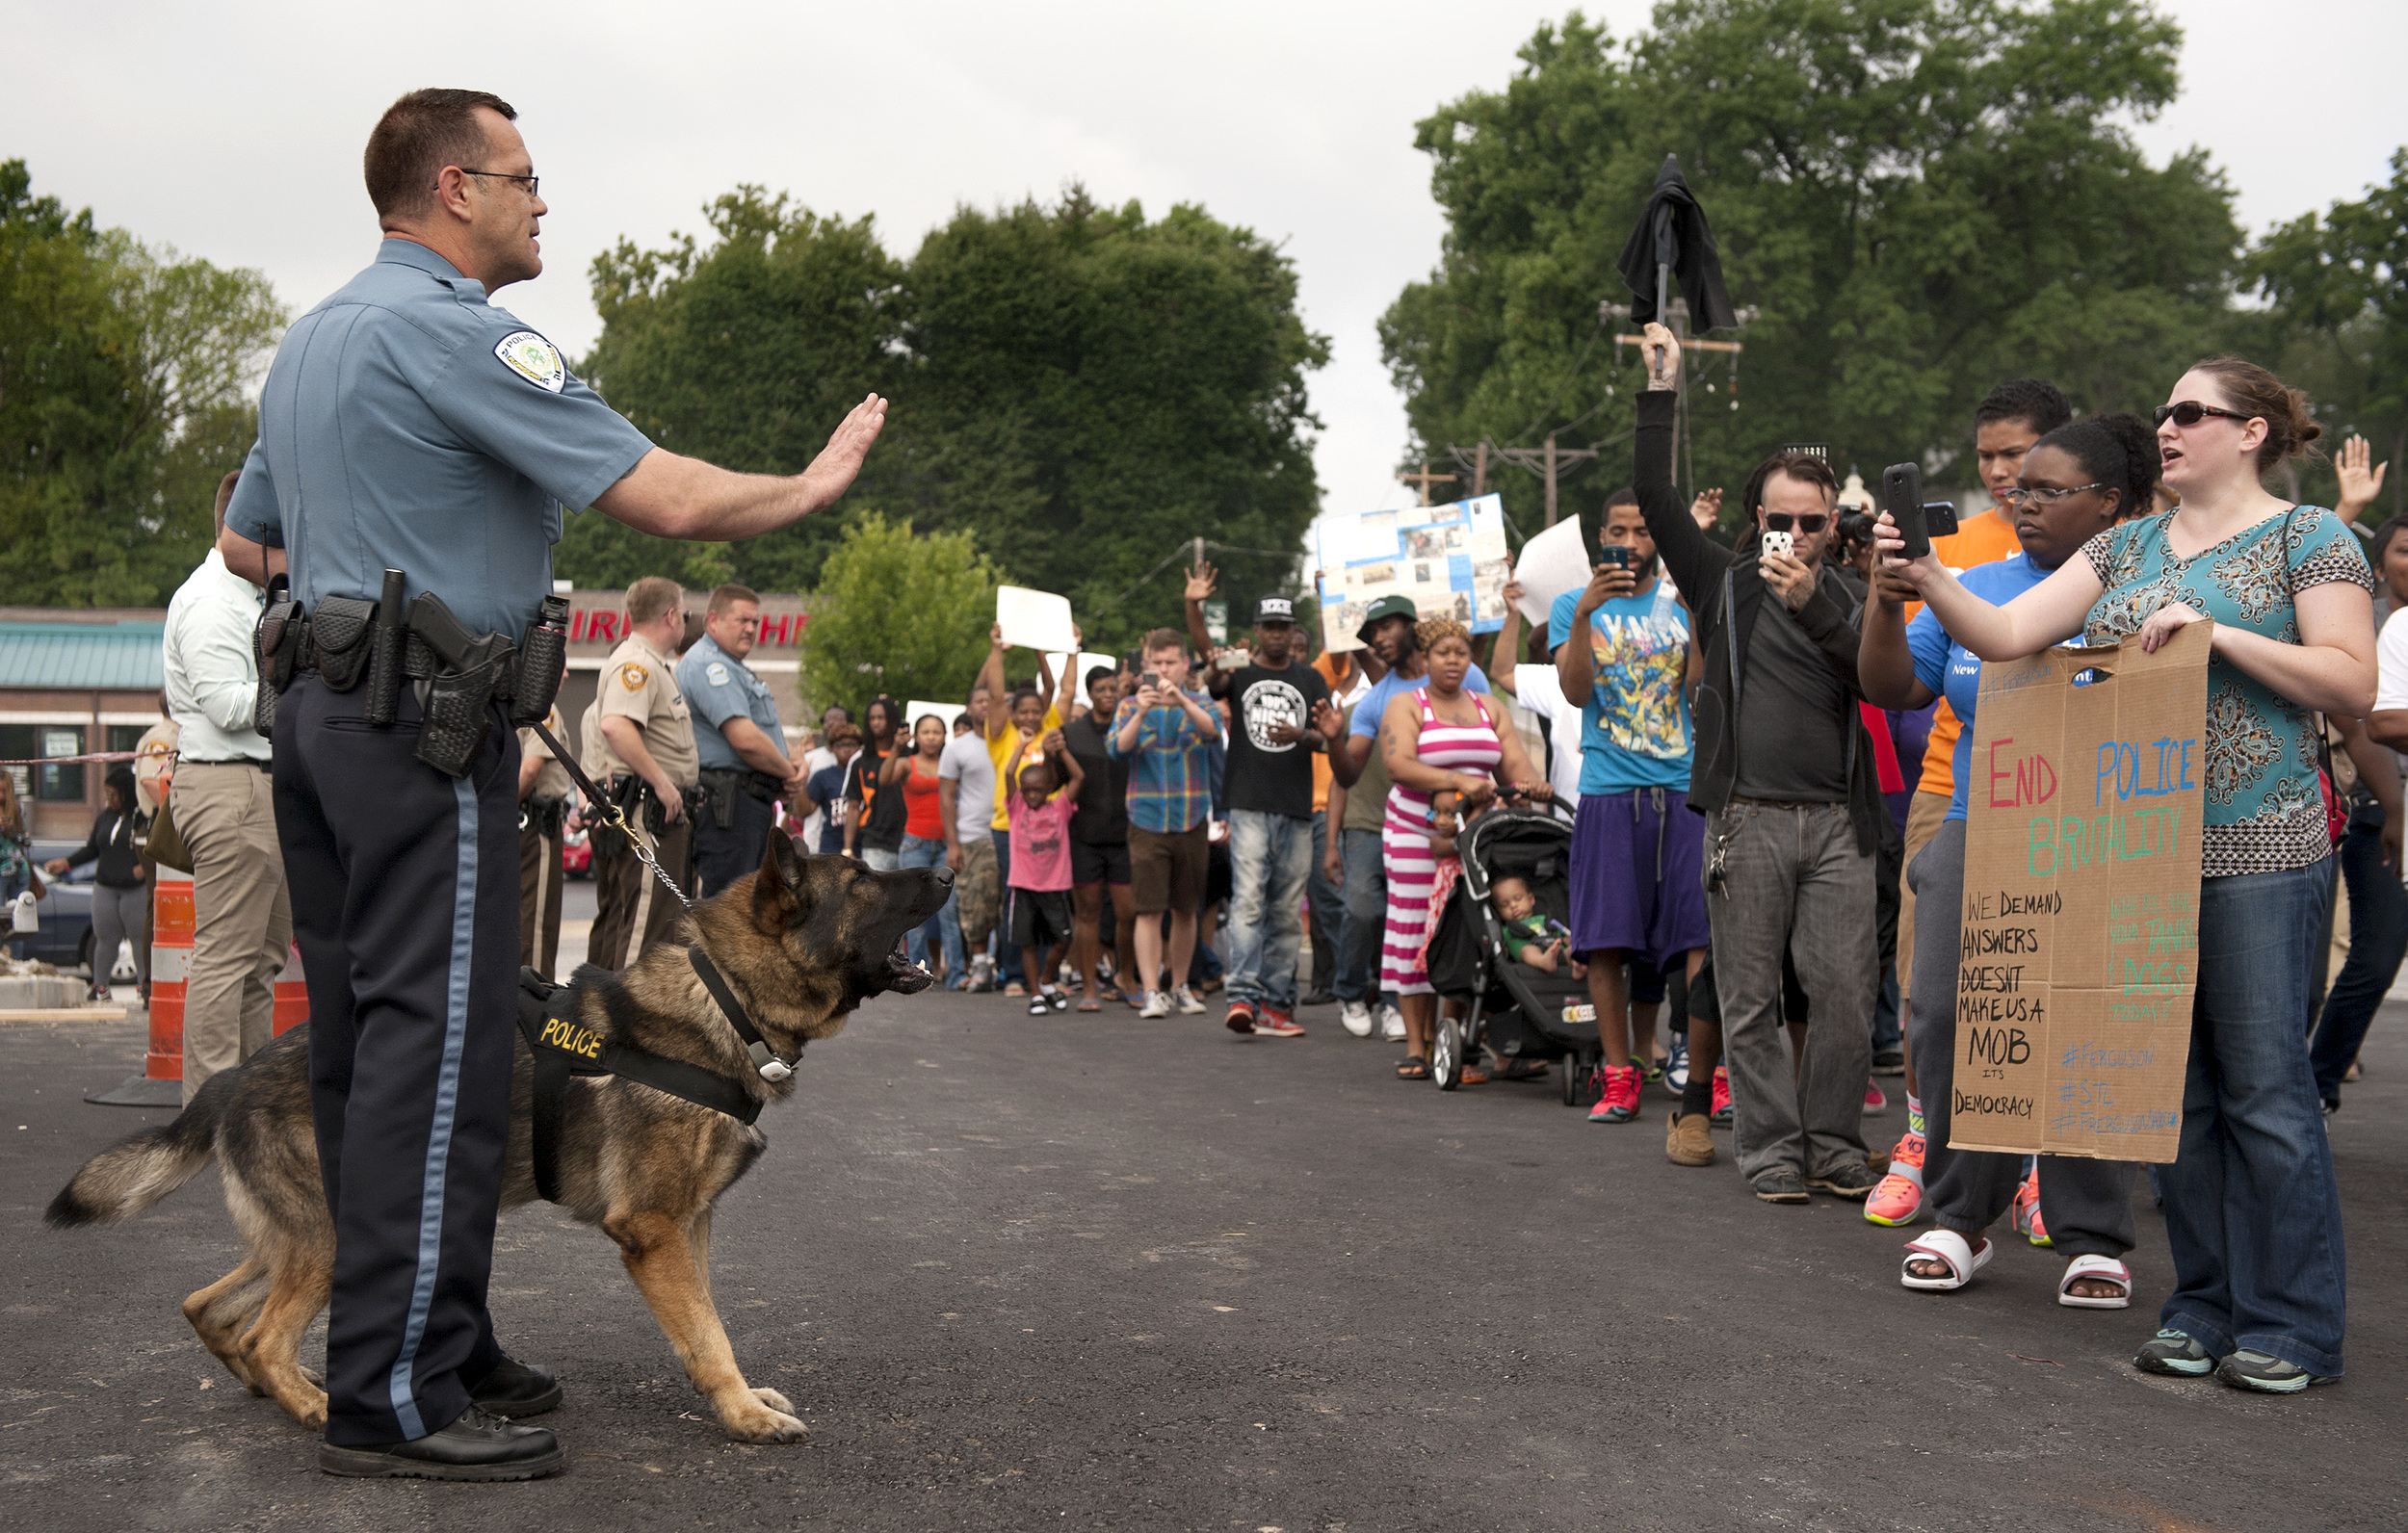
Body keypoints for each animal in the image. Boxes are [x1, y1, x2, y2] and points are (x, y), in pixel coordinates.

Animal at [46, 837, 949, 1443]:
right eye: (863, 881)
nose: (944, 871)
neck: (723, 997)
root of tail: (231, 1076)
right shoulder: (655, 1233)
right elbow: (707, 1332)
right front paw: (740, 1413)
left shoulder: (691, 1226)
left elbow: (708, 1322)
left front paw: (744, 1400)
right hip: (333, 1235)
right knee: (264, 1335)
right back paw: (315, 1405)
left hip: (296, 1235)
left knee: (212, 1309)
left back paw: (289, 1384)